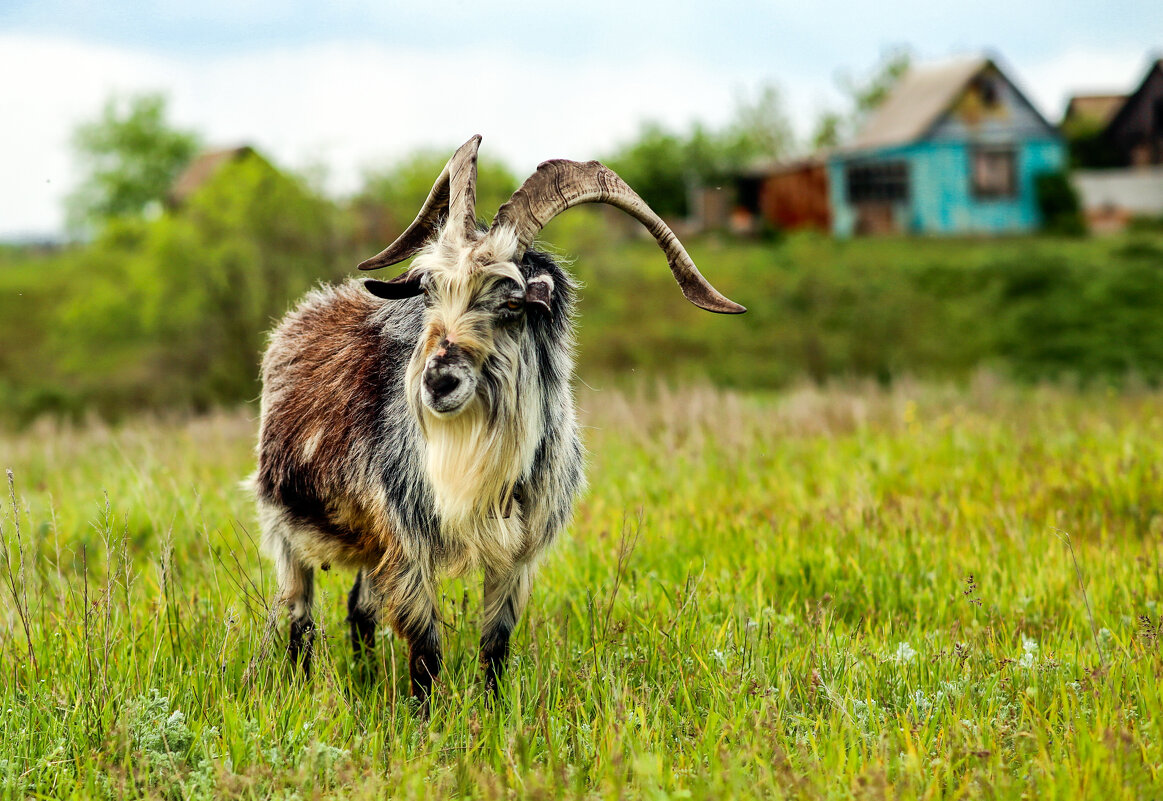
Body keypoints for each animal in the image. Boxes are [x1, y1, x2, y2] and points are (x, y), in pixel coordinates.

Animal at [253, 136, 744, 706]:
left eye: (511, 302)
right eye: (429, 291)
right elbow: (426, 653)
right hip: (284, 524)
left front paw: (490, 711)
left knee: (359, 611)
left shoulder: (516, 556)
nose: (438, 381)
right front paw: (425, 720)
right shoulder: (408, 543)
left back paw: (367, 676)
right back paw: (302, 684)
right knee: (300, 616)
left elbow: (495, 645)